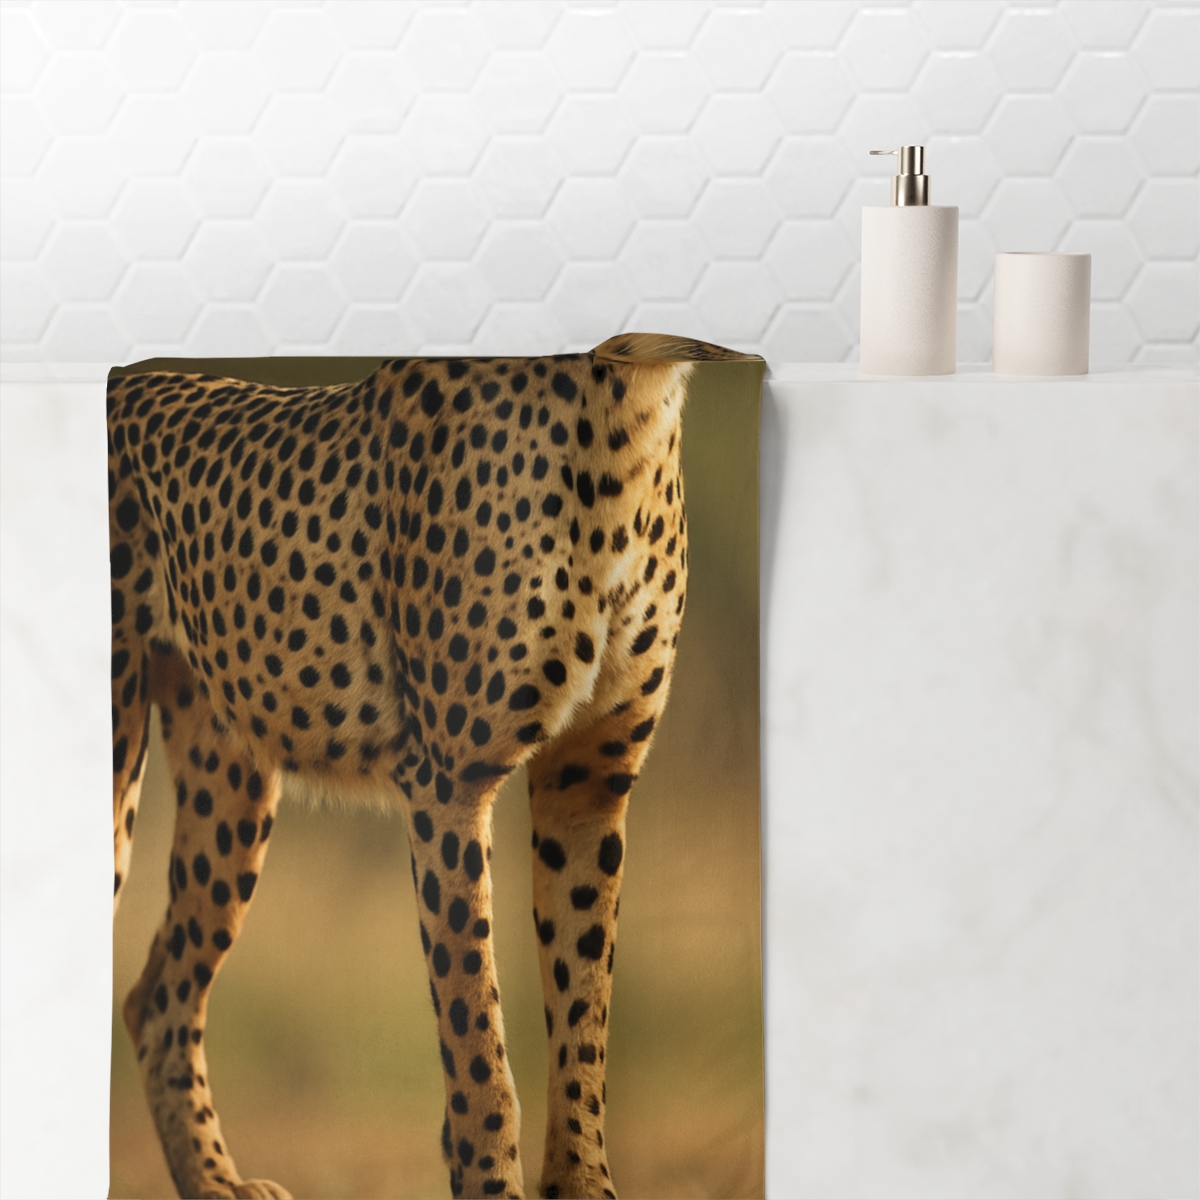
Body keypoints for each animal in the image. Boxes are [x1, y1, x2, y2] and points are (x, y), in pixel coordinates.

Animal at [108, 333, 757, 1200]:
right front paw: (489, 1182)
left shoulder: (588, 780)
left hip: (230, 781)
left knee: (158, 997)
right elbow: (475, 1034)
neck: (625, 414)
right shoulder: (450, 780)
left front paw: (583, 1182)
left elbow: (583, 1013)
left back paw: (219, 1183)